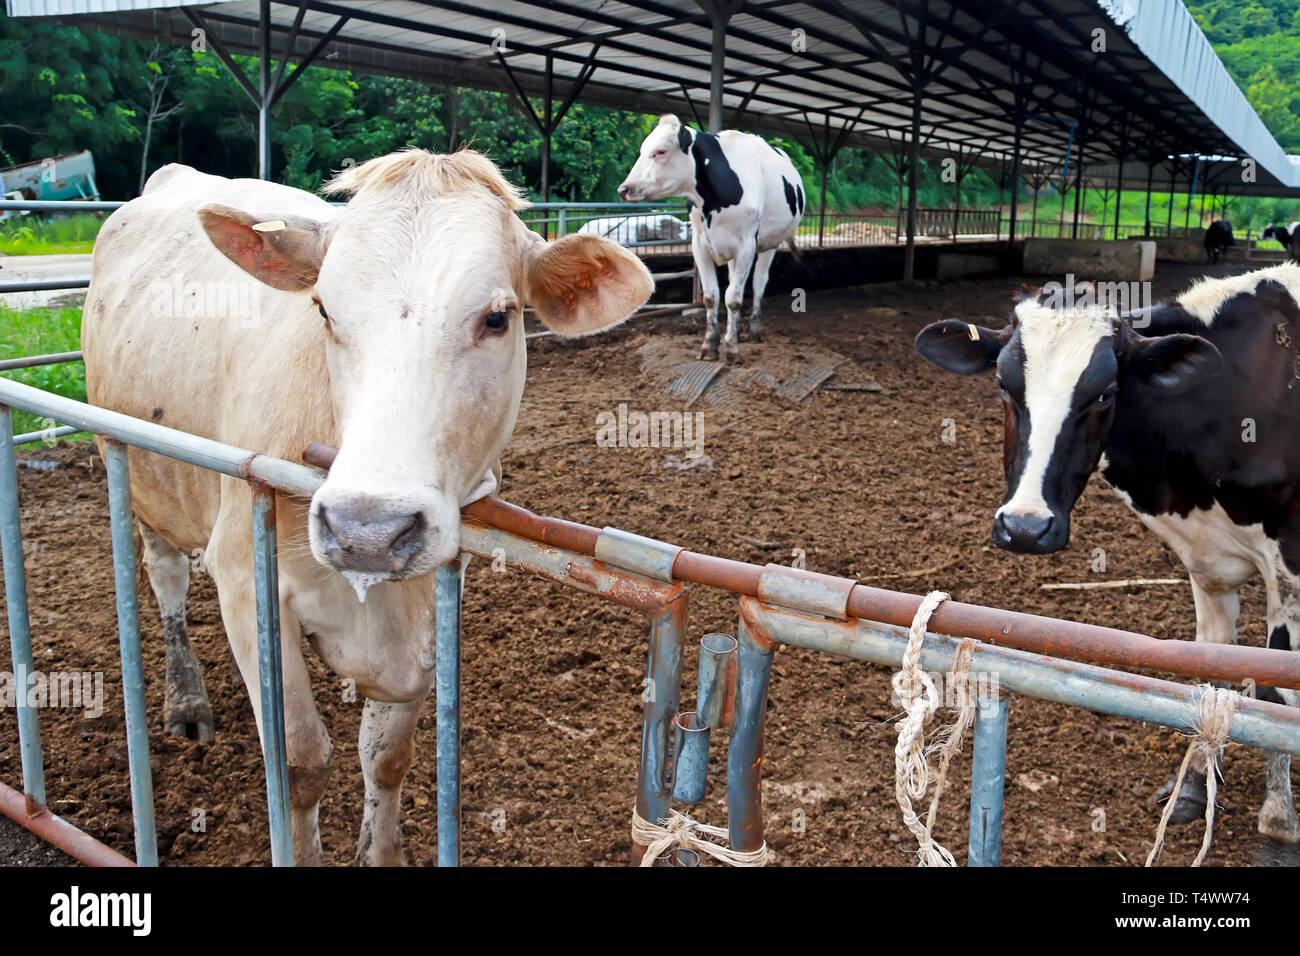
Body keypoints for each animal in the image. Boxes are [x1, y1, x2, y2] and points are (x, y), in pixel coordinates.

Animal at [79, 151, 650, 868]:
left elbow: (385, 757)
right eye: (324, 308)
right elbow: (300, 763)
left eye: (499, 317)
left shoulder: (427, 607)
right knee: (166, 576)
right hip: (130, 459)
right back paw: (186, 701)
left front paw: (381, 851)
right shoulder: (244, 578)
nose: (367, 532)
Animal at [616, 111, 800, 364]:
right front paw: (710, 345)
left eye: (660, 151)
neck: (713, 200)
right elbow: (712, 297)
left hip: (770, 244)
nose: (623, 189)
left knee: (759, 284)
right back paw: (738, 329)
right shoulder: (700, 245)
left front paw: (731, 348)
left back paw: (754, 331)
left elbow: (733, 298)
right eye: (643, 149)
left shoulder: (747, 245)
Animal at [915, 264, 1300, 853]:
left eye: (1104, 393)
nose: (1025, 527)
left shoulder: (1289, 566)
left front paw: (1279, 818)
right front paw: (1191, 790)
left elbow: (1278, 688)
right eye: (1004, 386)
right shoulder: (1207, 559)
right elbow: (1211, 672)